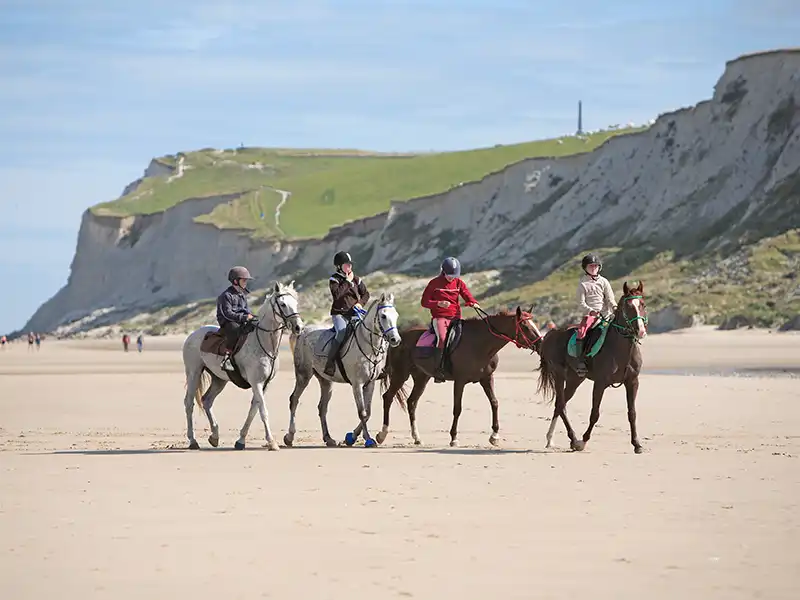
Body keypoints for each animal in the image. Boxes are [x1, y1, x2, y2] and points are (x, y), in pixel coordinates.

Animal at [181, 282, 304, 450]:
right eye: (283, 304)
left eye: (296, 303)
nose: (299, 327)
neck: (264, 343)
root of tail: (192, 335)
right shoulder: (256, 383)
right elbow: (263, 411)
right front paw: (271, 442)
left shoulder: (264, 384)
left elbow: (253, 410)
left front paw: (240, 440)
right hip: (194, 372)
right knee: (189, 403)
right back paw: (193, 440)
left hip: (219, 379)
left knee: (207, 401)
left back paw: (214, 436)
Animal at [284, 292, 404, 448]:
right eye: (383, 316)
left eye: (396, 315)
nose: (396, 339)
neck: (367, 345)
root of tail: (303, 331)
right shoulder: (357, 384)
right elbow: (362, 412)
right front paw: (368, 439)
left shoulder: (370, 383)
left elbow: (368, 412)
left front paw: (351, 437)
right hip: (303, 375)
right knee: (294, 400)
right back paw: (289, 437)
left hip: (326, 381)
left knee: (322, 407)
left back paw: (328, 438)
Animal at [376, 308, 540, 448]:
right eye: (525, 326)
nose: (540, 343)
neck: (480, 344)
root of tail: (398, 338)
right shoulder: (460, 381)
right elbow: (457, 408)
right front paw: (454, 438)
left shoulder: (487, 378)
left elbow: (494, 403)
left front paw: (494, 436)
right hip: (400, 374)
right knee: (388, 397)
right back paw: (382, 434)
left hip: (422, 377)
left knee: (412, 402)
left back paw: (417, 437)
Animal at [536, 282, 648, 454]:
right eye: (628, 307)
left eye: (642, 304)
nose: (640, 331)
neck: (620, 349)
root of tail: (551, 334)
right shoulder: (600, 383)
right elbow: (595, 413)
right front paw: (583, 441)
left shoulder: (632, 382)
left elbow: (632, 413)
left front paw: (637, 444)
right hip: (559, 375)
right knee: (561, 405)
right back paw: (573, 440)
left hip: (575, 379)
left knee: (559, 405)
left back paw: (554, 439)